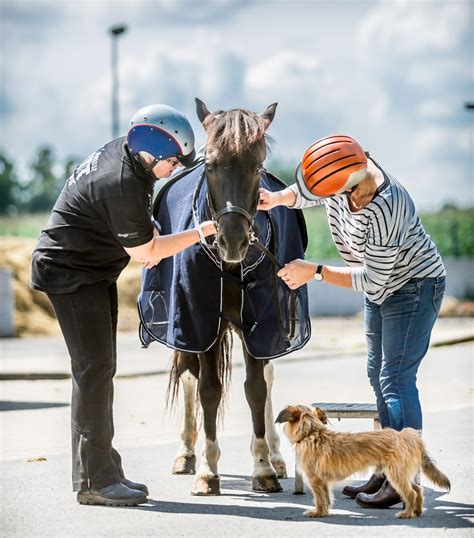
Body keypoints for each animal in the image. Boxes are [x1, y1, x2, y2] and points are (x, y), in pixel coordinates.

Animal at [276, 404, 450, 516]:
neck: (311, 432)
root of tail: (409, 436)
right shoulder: (323, 482)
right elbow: (326, 498)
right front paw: (324, 512)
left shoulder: (315, 480)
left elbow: (319, 499)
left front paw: (317, 513)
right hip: (401, 474)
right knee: (417, 489)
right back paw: (418, 510)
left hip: (396, 475)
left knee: (410, 493)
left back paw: (407, 514)